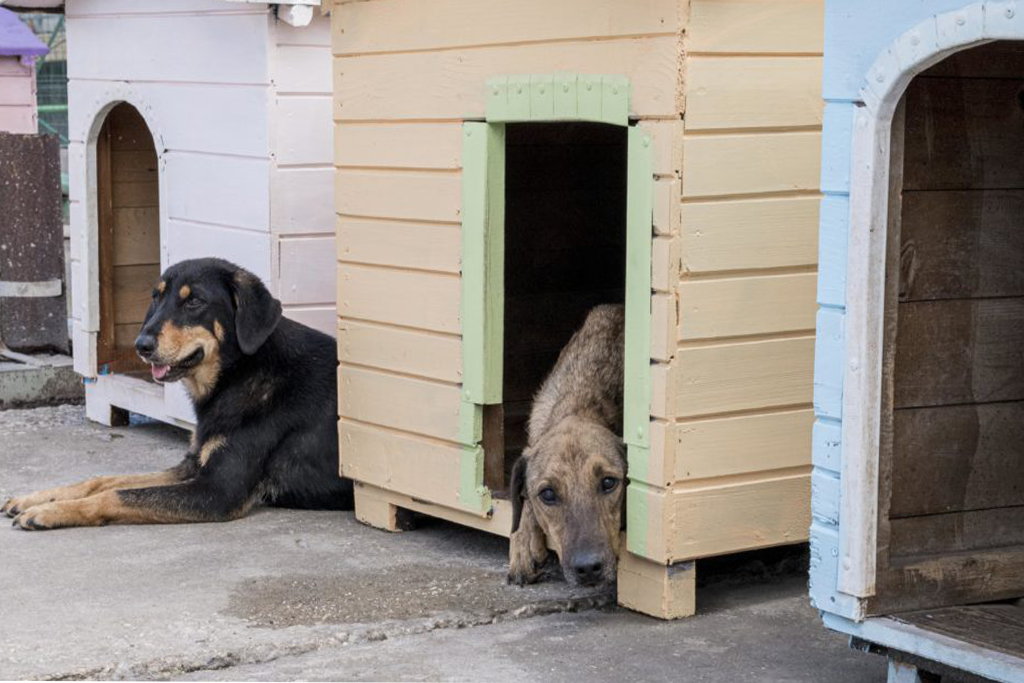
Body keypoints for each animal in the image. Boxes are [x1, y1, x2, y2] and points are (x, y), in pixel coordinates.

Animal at [3, 255, 352, 528]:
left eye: (194, 301)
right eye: (156, 297)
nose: (140, 345)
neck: (240, 371)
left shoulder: (217, 490)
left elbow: (116, 494)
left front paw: (49, 512)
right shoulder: (193, 465)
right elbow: (105, 480)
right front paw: (38, 498)